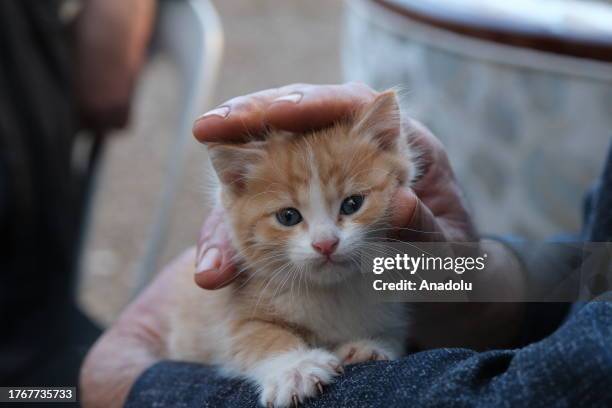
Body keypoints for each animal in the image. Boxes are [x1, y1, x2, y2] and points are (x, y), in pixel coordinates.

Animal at [166, 91, 416, 406]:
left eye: (352, 204)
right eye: (288, 216)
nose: (325, 244)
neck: (332, 293)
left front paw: (370, 345)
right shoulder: (228, 312)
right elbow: (254, 334)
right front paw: (296, 368)